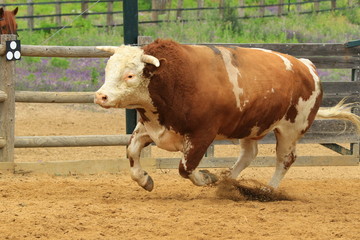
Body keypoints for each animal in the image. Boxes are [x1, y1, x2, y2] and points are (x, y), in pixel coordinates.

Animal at [95, 39, 360, 193]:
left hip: (290, 130)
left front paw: (207, 178)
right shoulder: (153, 128)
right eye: (108, 70)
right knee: (249, 154)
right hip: (252, 126)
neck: (175, 77)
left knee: (285, 159)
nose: (100, 96)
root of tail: (307, 66)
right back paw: (228, 181)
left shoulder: (201, 135)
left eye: (130, 75)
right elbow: (132, 152)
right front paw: (144, 180)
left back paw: (268, 190)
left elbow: (186, 167)